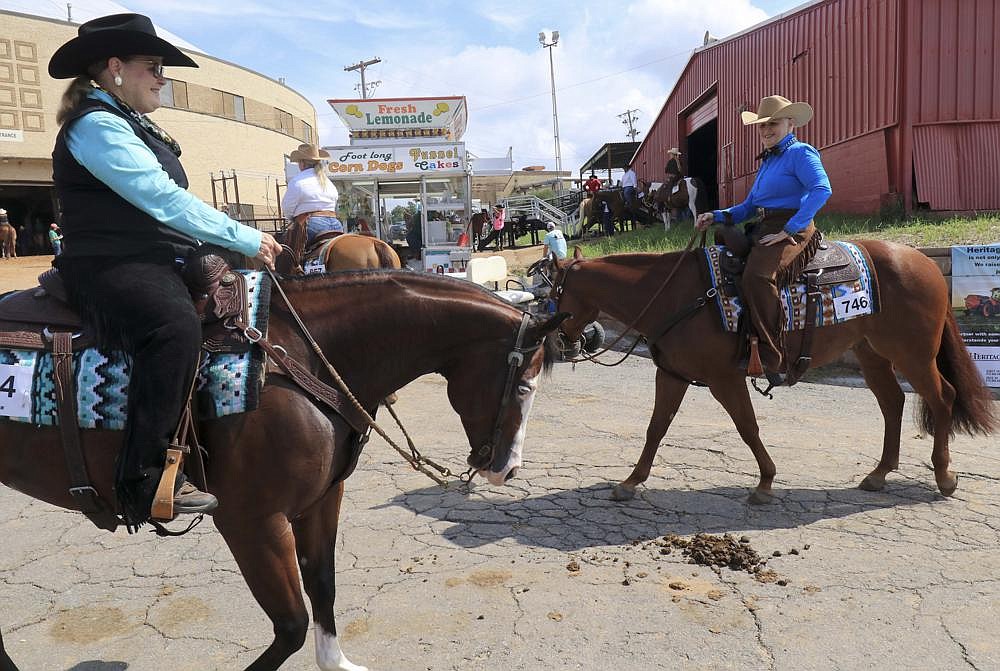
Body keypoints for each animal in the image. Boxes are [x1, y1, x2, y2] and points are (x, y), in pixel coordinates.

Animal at [0, 272, 568, 671]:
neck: (302, 359)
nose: (507, 470)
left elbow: (323, 585)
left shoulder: (321, 502)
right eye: (524, 384)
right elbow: (292, 624)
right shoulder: (253, 522)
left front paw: (336, 661)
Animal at [552, 243, 996, 504]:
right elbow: (656, 427)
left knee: (942, 398)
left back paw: (944, 476)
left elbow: (747, 427)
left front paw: (765, 482)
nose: (561, 343)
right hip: (871, 353)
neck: (676, 295)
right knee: (893, 402)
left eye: (552, 293)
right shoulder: (673, 375)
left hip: (913, 354)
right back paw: (879, 473)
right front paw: (631, 481)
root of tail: (924, 262)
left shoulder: (724, 379)